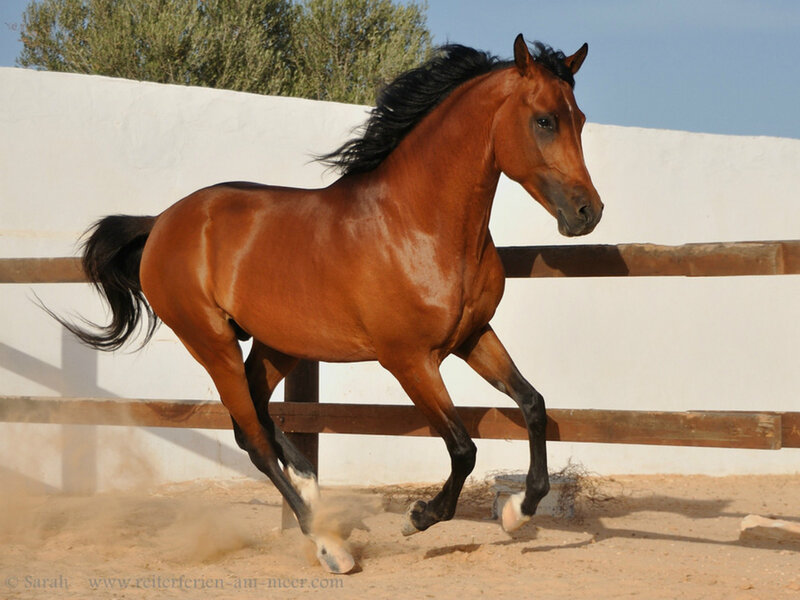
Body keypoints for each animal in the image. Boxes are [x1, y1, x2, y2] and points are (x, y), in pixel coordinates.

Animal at [53, 34, 602, 573]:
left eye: (580, 119)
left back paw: (315, 498)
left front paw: (517, 512)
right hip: (211, 343)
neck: (419, 225)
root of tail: (162, 222)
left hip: (277, 345)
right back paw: (328, 545)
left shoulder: (472, 336)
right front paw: (418, 517)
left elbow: (534, 405)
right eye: (544, 120)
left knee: (258, 419)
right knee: (253, 438)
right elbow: (463, 447)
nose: (587, 212)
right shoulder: (407, 359)